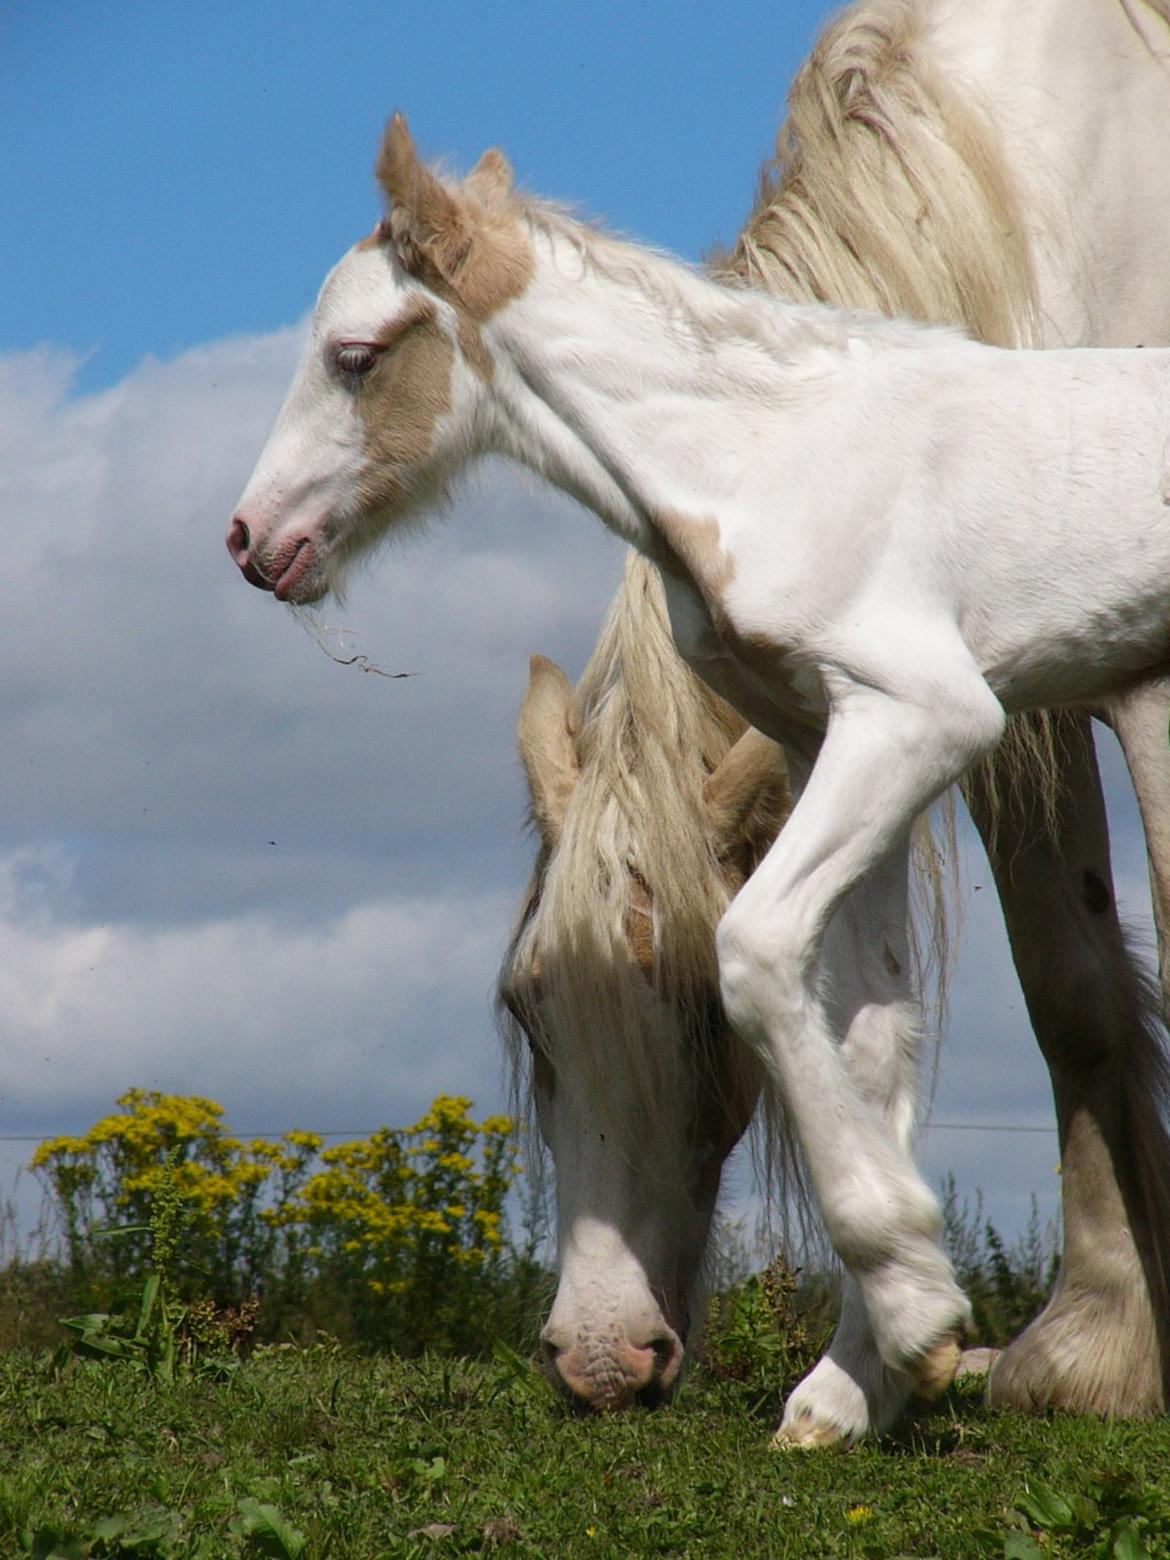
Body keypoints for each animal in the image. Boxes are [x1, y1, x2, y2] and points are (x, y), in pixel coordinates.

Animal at [226, 0, 1170, 1441]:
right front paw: (859, 1384)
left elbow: (765, 951)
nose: (251, 539)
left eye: (352, 357)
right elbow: (869, 1029)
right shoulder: (840, 742)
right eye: (527, 1013)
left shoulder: (932, 718)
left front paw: (922, 1311)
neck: (766, 452)